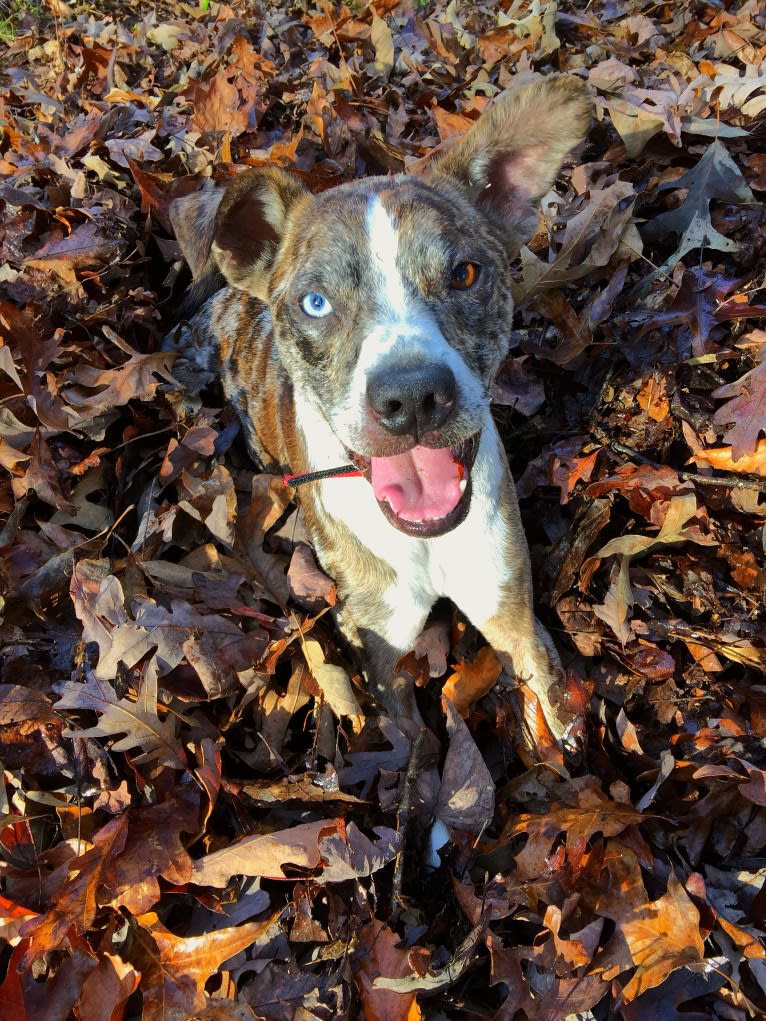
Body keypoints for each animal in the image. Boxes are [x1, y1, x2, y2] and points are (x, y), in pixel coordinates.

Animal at [166, 77, 592, 751]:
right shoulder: (383, 647)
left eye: (464, 273)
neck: (426, 537)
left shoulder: (508, 604)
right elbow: (412, 749)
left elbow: (543, 674)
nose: (412, 397)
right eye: (315, 302)